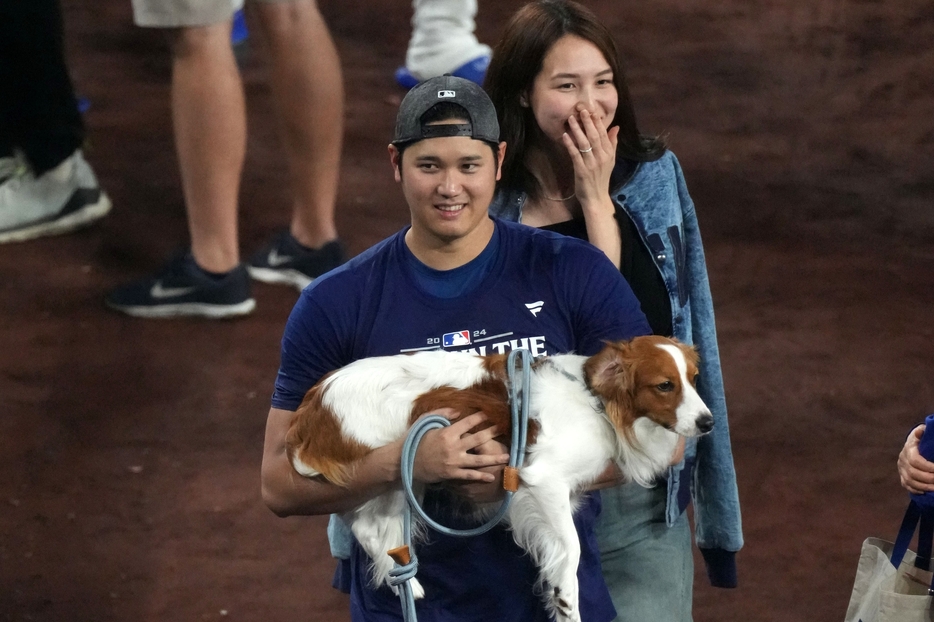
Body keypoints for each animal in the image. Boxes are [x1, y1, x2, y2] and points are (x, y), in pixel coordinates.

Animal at [288, 336, 712, 622]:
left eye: (694, 379)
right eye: (665, 386)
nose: (708, 422)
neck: (597, 401)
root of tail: (312, 405)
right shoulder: (544, 481)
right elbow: (571, 551)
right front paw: (565, 601)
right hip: (395, 470)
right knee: (369, 529)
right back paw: (408, 581)